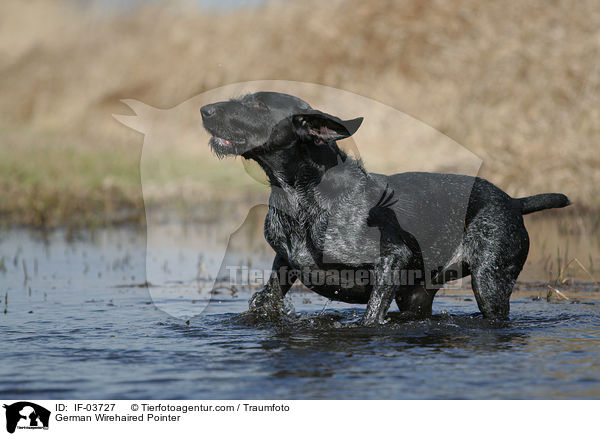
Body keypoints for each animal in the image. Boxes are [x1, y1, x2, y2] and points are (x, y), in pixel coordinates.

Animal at [200, 92, 568, 324]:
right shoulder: (284, 264)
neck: (301, 197)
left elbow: (371, 315)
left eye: (259, 105)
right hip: (417, 296)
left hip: (489, 283)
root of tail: (513, 202)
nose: (204, 109)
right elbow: (266, 300)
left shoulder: (392, 258)